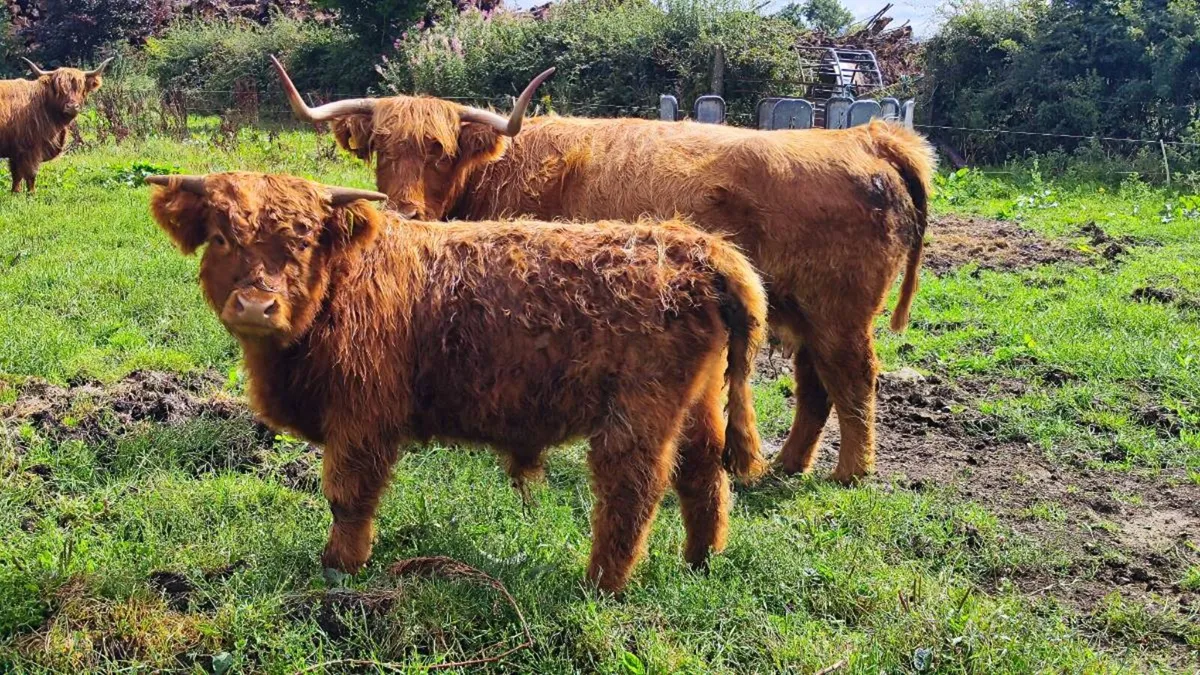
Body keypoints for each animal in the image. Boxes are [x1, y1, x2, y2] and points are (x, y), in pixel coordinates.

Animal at [0, 57, 113, 193]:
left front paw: (15, 193)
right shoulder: (30, 149)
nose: (72, 107)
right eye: (59, 89)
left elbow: (16, 176)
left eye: (80, 88)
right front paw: (31, 194)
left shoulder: (17, 152)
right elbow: (30, 175)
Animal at [145, 171, 768, 593]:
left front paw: (339, 568)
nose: (256, 305)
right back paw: (700, 561)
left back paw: (600, 584)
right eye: (221, 238)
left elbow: (348, 495)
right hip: (698, 399)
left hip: (639, 410)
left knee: (632, 489)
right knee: (704, 471)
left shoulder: (361, 415)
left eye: (302, 241)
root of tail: (695, 245)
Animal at [271, 58, 937, 484]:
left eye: (440, 150)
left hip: (841, 315)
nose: (404, 210)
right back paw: (787, 465)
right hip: (805, 314)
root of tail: (867, 136)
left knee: (855, 379)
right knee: (816, 385)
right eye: (382, 148)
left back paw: (850, 473)